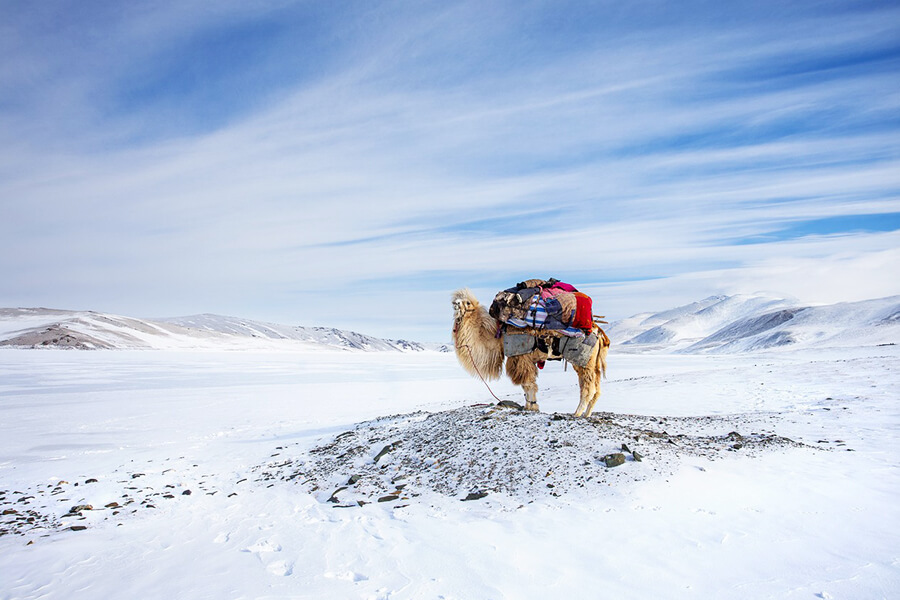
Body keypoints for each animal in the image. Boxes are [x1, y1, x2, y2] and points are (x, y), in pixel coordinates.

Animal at [454, 288, 608, 420]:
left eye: (467, 302)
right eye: (455, 300)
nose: (456, 304)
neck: (498, 338)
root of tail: (599, 333)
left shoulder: (520, 357)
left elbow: (528, 384)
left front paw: (531, 407)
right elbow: (527, 385)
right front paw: (530, 406)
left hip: (583, 360)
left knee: (588, 388)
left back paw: (577, 413)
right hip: (593, 363)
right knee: (596, 388)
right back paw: (586, 414)